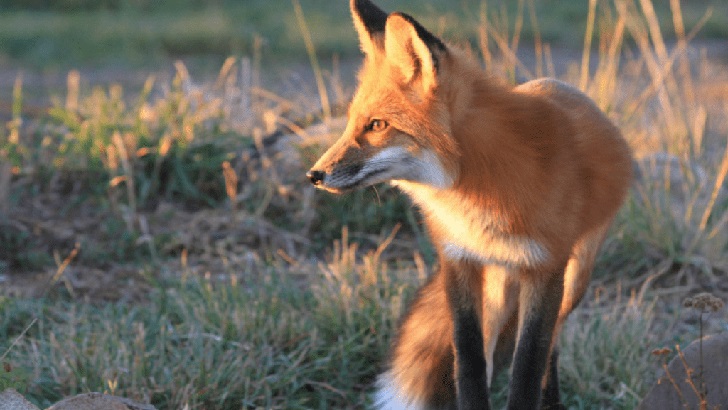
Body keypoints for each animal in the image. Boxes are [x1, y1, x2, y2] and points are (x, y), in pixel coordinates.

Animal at [306, 1, 632, 408]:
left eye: (377, 125)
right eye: (352, 123)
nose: (314, 175)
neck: (477, 199)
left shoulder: (545, 269)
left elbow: (528, 368)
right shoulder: (459, 261)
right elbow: (470, 363)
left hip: (574, 279)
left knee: (552, 346)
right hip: (496, 290)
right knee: (493, 352)